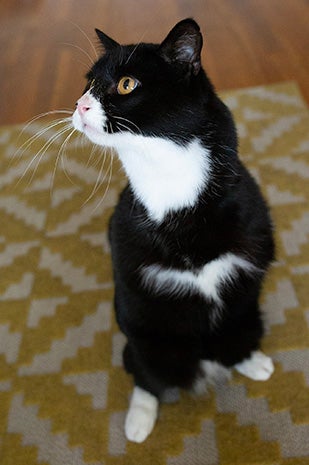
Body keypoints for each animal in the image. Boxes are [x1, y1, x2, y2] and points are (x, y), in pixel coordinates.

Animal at [72, 19, 274, 442]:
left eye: (127, 84)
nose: (80, 105)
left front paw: (249, 361)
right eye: (88, 83)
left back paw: (251, 360)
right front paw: (141, 415)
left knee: (235, 335)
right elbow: (147, 368)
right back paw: (139, 420)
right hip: (146, 332)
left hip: (249, 315)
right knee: (145, 366)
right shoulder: (134, 285)